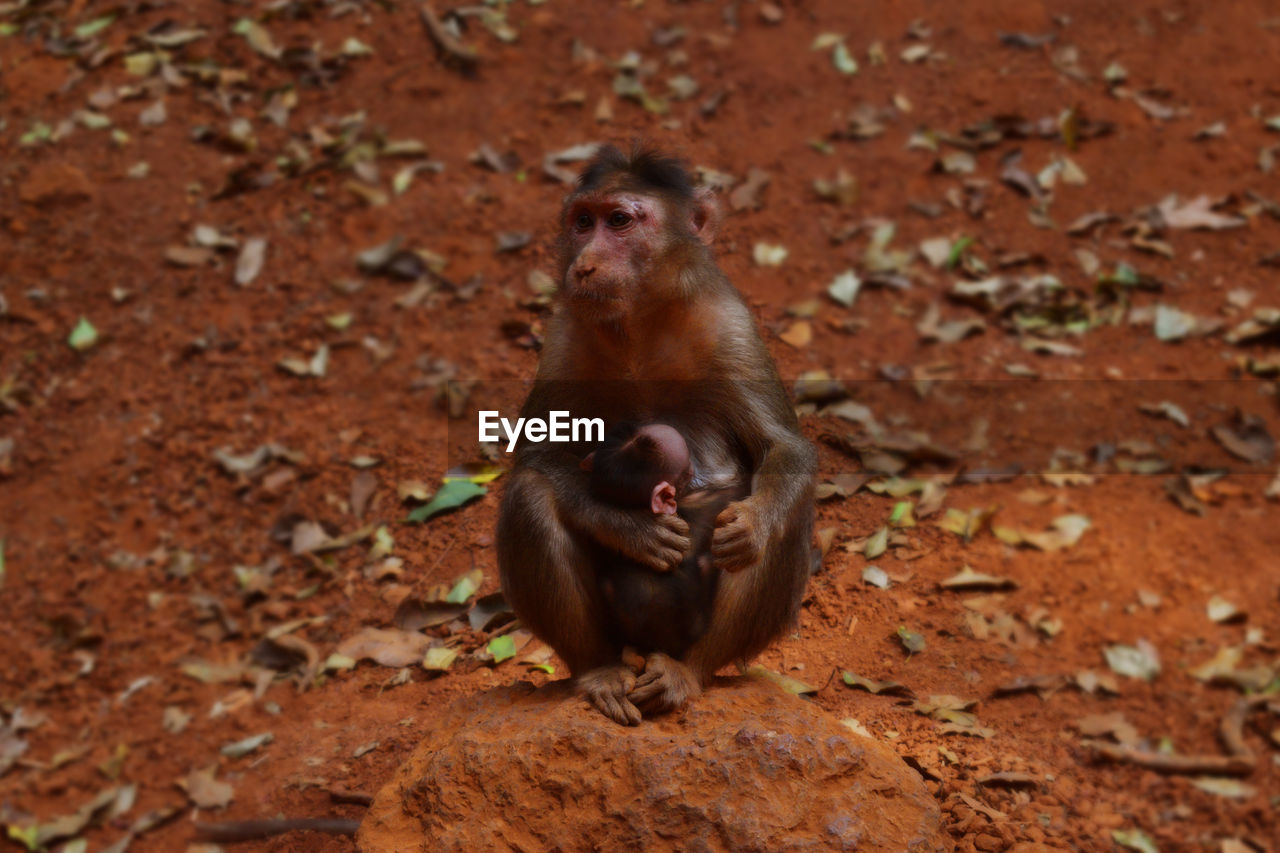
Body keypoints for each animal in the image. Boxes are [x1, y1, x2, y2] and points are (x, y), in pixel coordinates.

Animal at [583, 422, 737, 660]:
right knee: (706, 564)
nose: (693, 470)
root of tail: (660, 646)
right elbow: (728, 495)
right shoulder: (699, 502)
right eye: (685, 470)